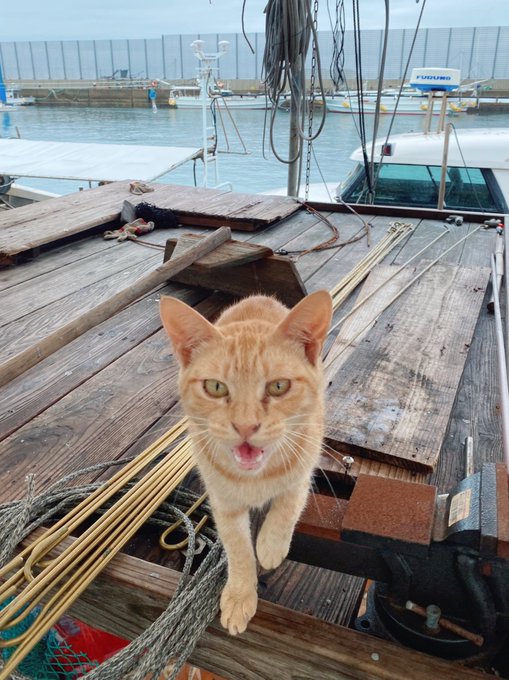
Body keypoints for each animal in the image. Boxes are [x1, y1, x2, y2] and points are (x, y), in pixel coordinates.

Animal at [159, 290, 333, 635]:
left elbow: (288, 506)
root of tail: (259, 296)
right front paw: (240, 594)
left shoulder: (306, 463)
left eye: (279, 386)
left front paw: (270, 546)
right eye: (215, 387)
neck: (255, 478)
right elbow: (237, 548)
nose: (245, 426)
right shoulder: (223, 501)